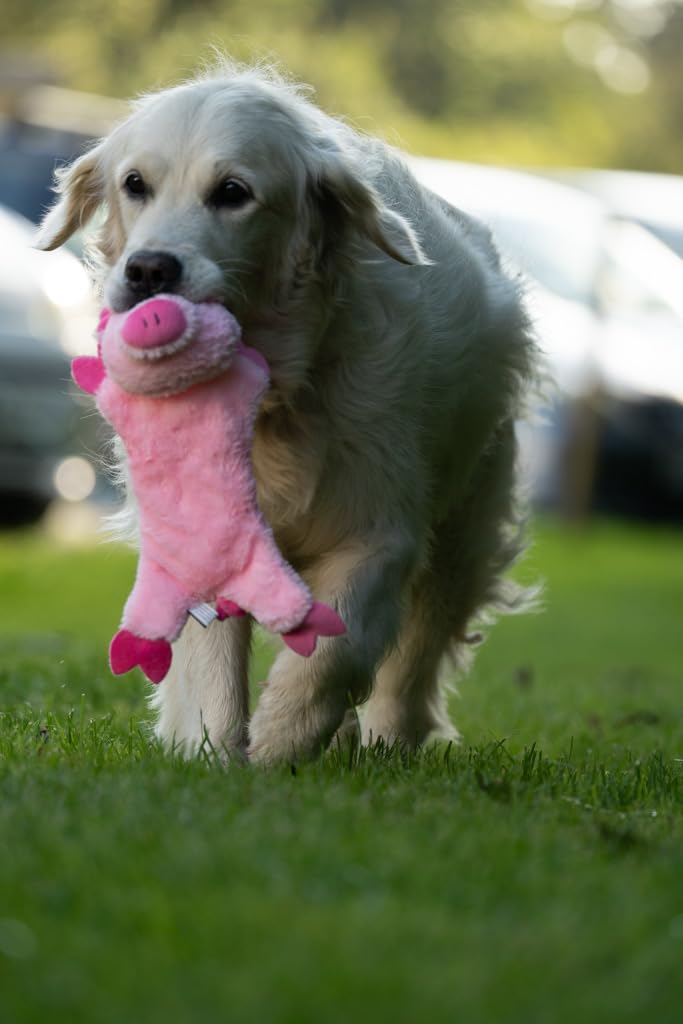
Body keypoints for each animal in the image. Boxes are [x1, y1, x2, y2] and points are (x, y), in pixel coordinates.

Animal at [37, 61, 540, 761]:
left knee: (417, 652)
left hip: (465, 522)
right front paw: (213, 757)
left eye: (233, 192)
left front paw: (278, 743)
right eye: (135, 184)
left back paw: (390, 739)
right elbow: (215, 680)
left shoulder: (376, 531)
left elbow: (333, 650)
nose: (149, 271)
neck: (271, 397)